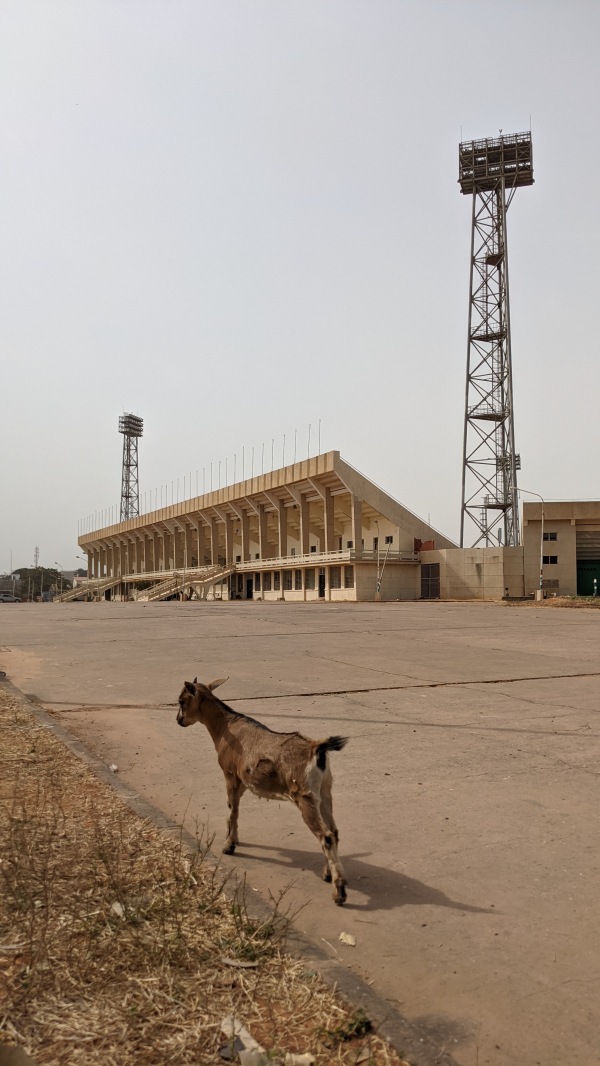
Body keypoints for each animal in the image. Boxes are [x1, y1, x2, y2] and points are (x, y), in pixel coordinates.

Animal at [175, 677, 349, 903]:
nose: (179, 720)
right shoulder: (242, 780)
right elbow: (235, 810)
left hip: (305, 796)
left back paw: (339, 892)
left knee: (326, 835)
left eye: (181, 701)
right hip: (325, 792)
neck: (225, 727)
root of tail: (316, 748)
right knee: (333, 831)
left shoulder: (230, 774)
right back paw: (328, 874)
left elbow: (232, 810)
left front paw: (228, 846)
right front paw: (233, 838)